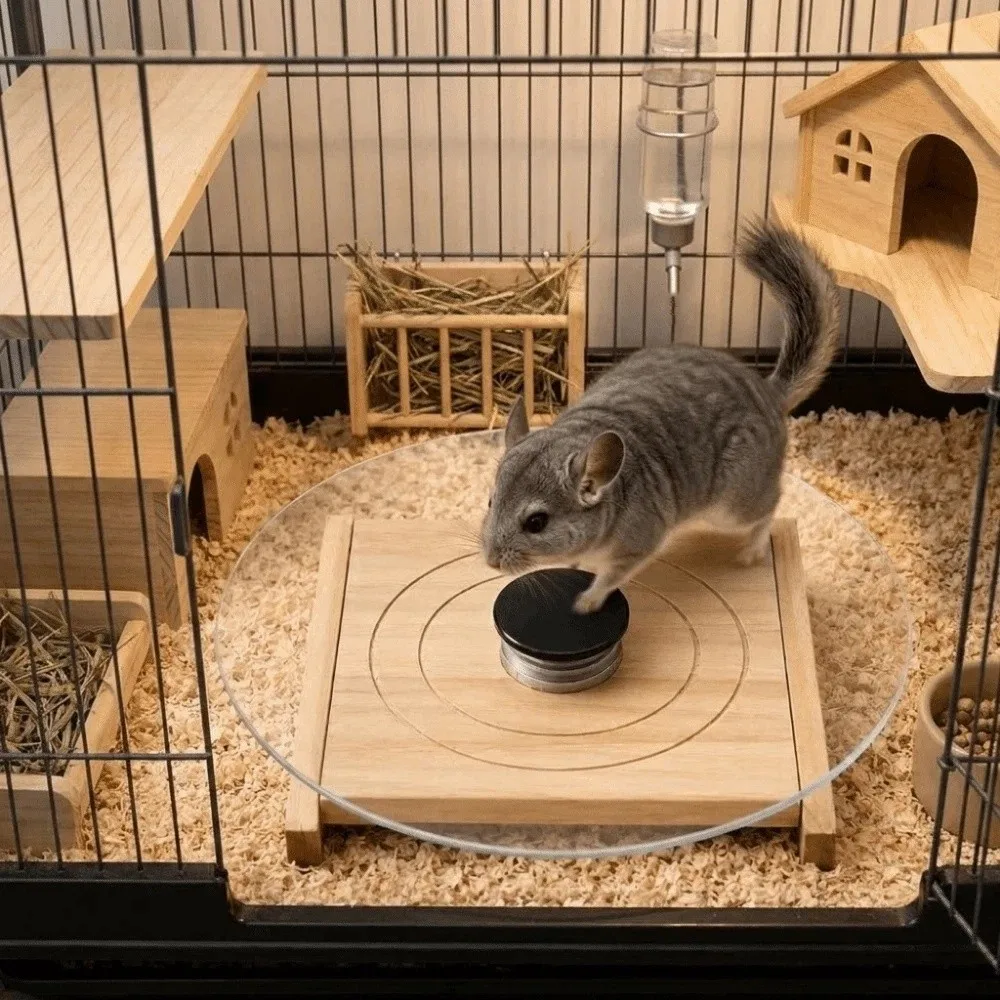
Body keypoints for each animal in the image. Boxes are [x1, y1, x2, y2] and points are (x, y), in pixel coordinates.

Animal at [479, 216, 840, 614]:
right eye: (491, 501)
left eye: (536, 522)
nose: (490, 561)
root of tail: (769, 391)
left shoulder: (638, 543)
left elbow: (609, 578)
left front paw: (583, 604)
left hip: (733, 506)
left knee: (772, 504)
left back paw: (750, 553)